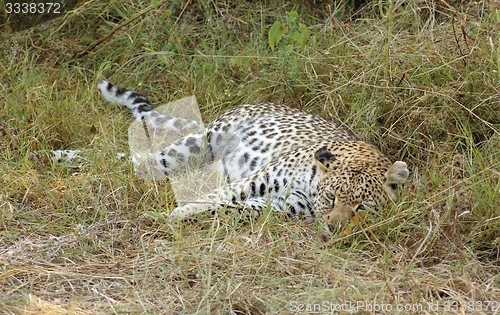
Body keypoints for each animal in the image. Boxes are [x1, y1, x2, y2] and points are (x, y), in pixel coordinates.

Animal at [47, 82, 408, 237]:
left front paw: (184, 218)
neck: (313, 182)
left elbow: (231, 210)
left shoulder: (278, 207)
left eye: (362, 208)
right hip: (196, 145)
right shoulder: (260, 179)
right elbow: (218, 197)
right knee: (135, 162)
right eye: (332, 197)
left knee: (136, 162)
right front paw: (175, 214)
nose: (334, 227)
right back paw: (61, 158)